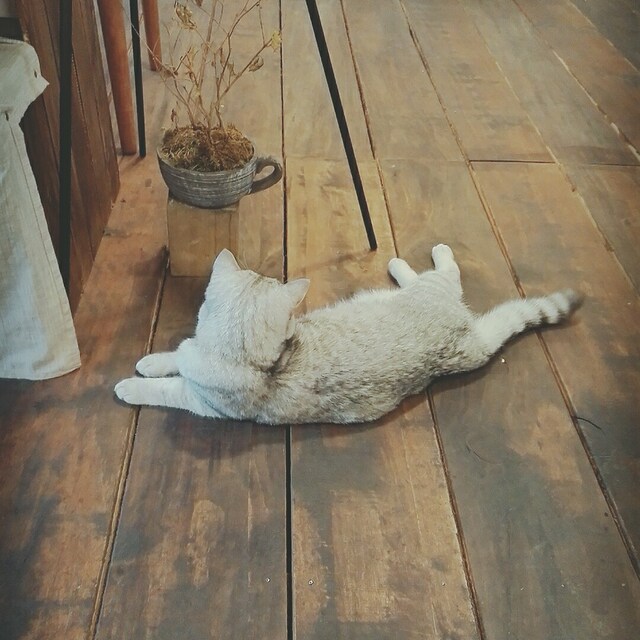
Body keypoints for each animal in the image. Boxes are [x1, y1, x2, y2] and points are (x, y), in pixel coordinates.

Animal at [114, 245, 581, 424]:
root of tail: (469, 335)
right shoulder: (192, 353)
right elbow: (175, 354)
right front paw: (153, 360)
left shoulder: (199, 401)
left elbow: (164, 388)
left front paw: (130, 385)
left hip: (434, 289)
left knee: (447, 271)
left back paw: (415, 258)